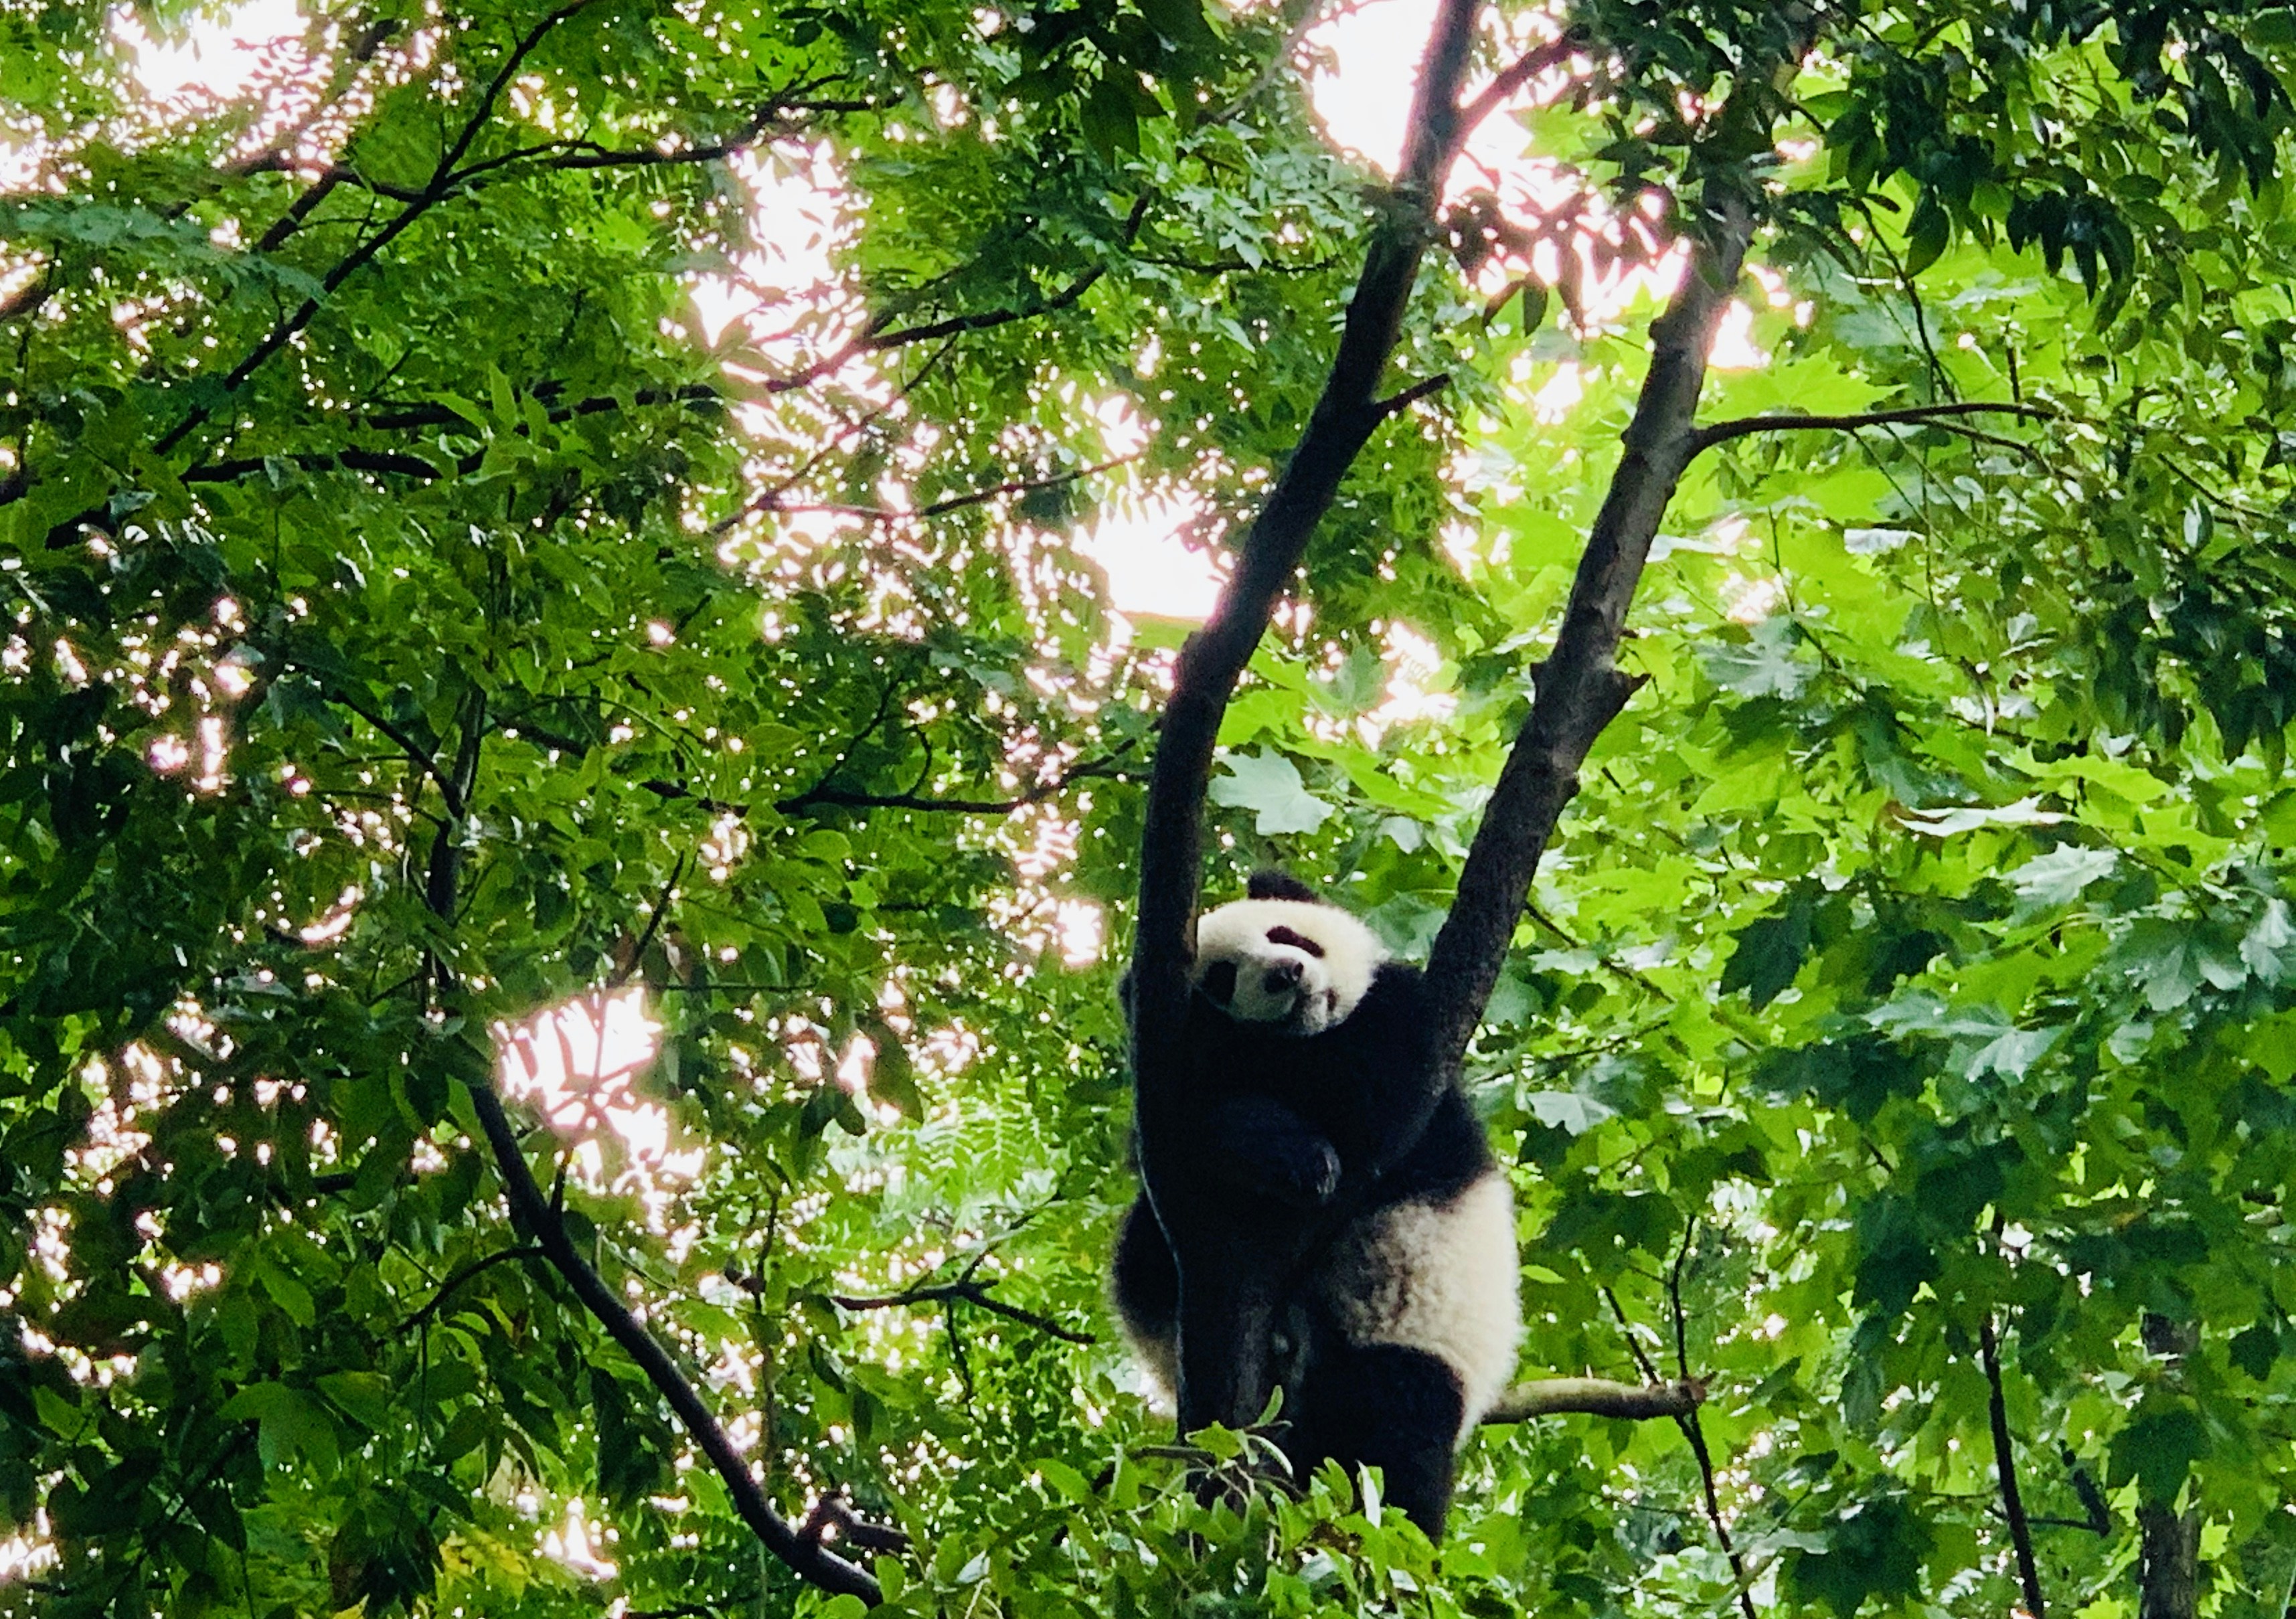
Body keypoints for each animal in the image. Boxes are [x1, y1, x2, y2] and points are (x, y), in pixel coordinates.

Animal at [1112, 871, 1521, 1537]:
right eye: (1222, 977)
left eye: (1288, 934)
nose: (1284, 974)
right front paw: (1284, 1149)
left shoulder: (1407, 1035)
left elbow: (1361, 1086)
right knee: (1140, 1255)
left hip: (1415, 1340)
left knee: (1386, 1437)